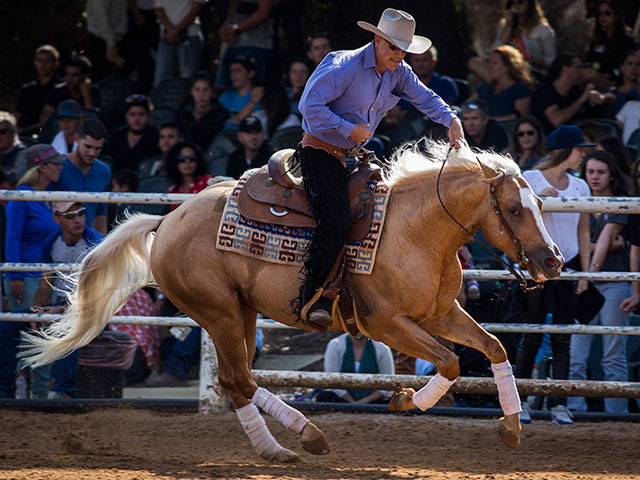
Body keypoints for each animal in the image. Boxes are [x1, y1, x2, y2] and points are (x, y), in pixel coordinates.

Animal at [22, 141, 564, 464]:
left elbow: (493, 348)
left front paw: (511, 426)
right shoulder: (387, 323)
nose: (554, 260)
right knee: (239, 379)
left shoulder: (440, 313)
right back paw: (306, 437)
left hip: (240, 314)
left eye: (540, 204)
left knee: (236, 380)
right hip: (218, 313)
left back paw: (277, 450)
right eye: (513, 209)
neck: (413, 232)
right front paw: (407, 399)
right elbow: (451, 363)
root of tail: (168, 220)